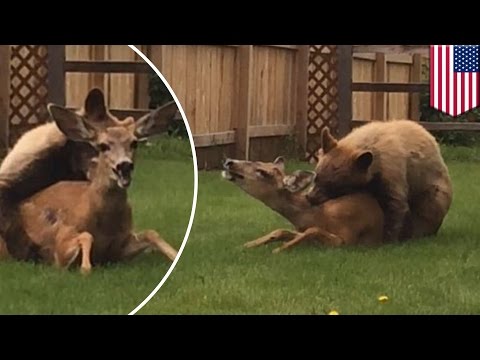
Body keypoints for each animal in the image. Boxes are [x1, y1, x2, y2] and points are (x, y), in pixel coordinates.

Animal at [2, 100, 180, 272]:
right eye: (102, 145)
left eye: (134, 143)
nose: (124, 166)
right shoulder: (60, 247)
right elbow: (85, 237)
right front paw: (85, 268)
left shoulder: (119, 250)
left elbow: (151, 233)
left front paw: (175, 255)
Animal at [220, 157, 382, 253]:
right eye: (255, 160)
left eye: (263, 172)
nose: (229, 162)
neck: (319, 215)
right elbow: (281, 231)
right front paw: (245, 245)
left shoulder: (347, 238)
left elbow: (312, 230)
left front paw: (279, 250)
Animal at [308, 120, 454, 242]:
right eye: (316, 177)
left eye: (335, 186)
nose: (311, 197)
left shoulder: (392, 172)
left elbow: (396, 206)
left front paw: (388, 239)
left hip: (432, 189)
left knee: (428, 208)